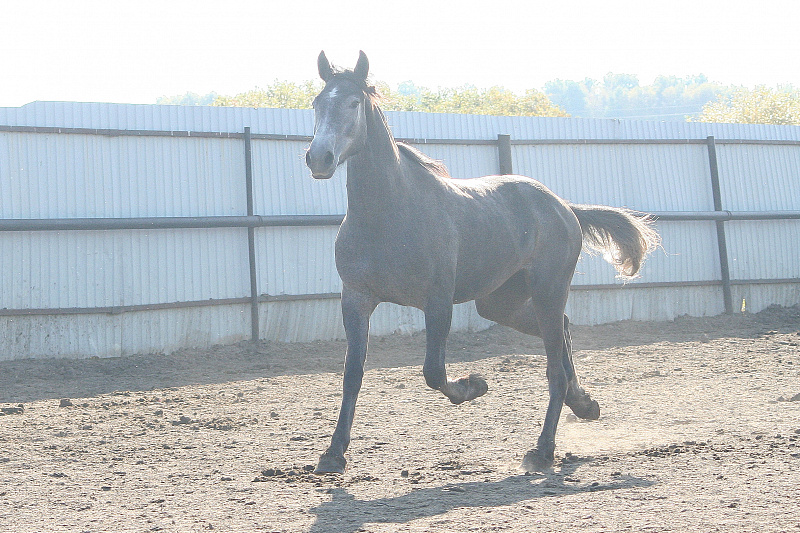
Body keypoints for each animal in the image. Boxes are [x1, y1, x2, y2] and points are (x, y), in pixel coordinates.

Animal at [305, 51, 660, 474]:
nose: (318, 157)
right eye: (317, 102)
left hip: (548, 290)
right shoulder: (356, 298)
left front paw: (474, 386)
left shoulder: (438, 302)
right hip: (500, 303)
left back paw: (542, 451)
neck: (389, 213)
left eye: (353, 102)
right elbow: (352, 375)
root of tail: (563, 207)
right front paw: (332, 453)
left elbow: (434, 371)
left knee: (554, 367)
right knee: (563, 331)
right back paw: (584, 403)